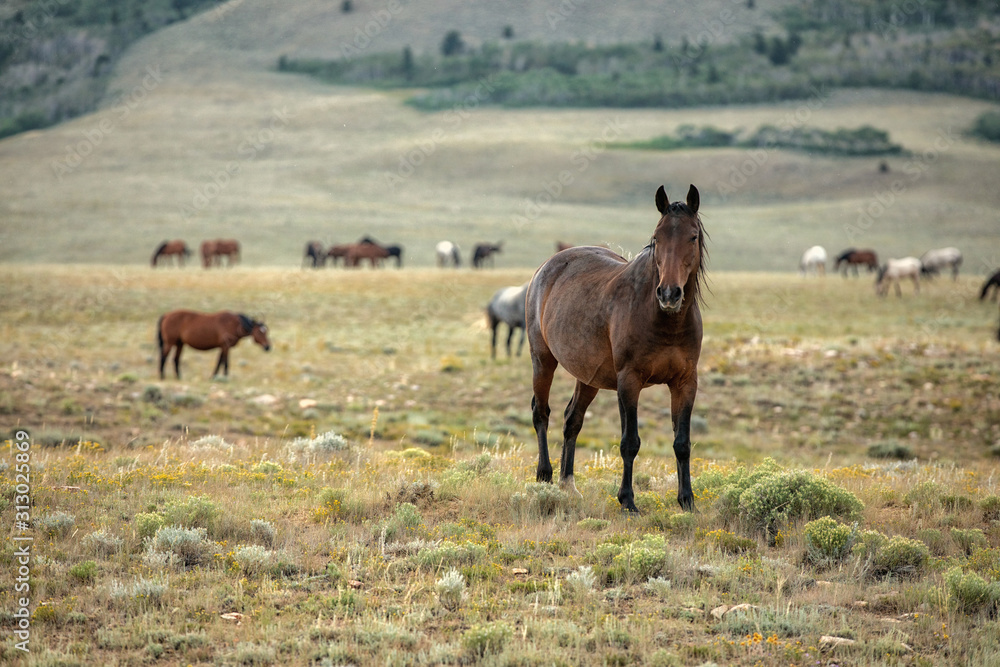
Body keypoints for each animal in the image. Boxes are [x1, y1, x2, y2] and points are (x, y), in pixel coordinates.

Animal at [526, 184, 706, 513]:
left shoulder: (686, 382)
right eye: (656, 238)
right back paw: (545, 476)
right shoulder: (629, 381)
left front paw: (687, 500)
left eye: (693, 236)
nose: (669, 293)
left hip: (588, 376)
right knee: (541, 412)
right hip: (542, 360)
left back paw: (568, 484)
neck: (664, 320)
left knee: (572, 420)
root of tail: (548, 265)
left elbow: (682, 443)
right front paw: (628, 501)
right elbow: (630, 442)